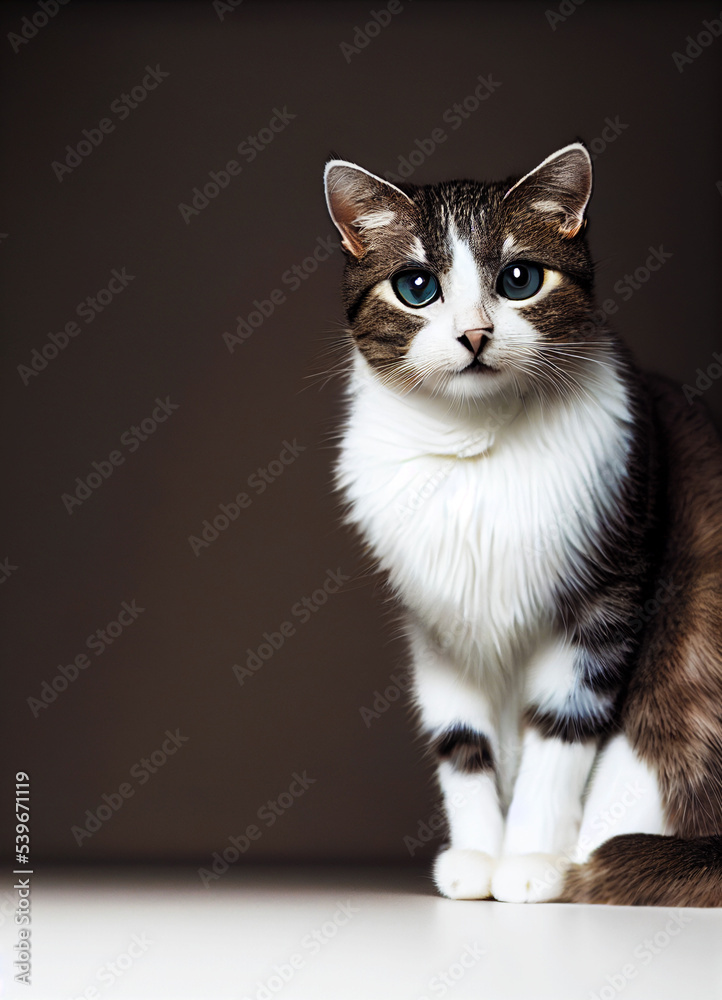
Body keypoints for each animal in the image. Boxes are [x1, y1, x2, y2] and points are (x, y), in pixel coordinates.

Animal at [322, 143, 720, 908]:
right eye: (416, 287)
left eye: (519, 279)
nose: (475, 334)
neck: (475, 449)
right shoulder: (435, 622)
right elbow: (460, 740)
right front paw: (479, 856)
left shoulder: (606, 597)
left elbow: (562, 732)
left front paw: (533, 859)